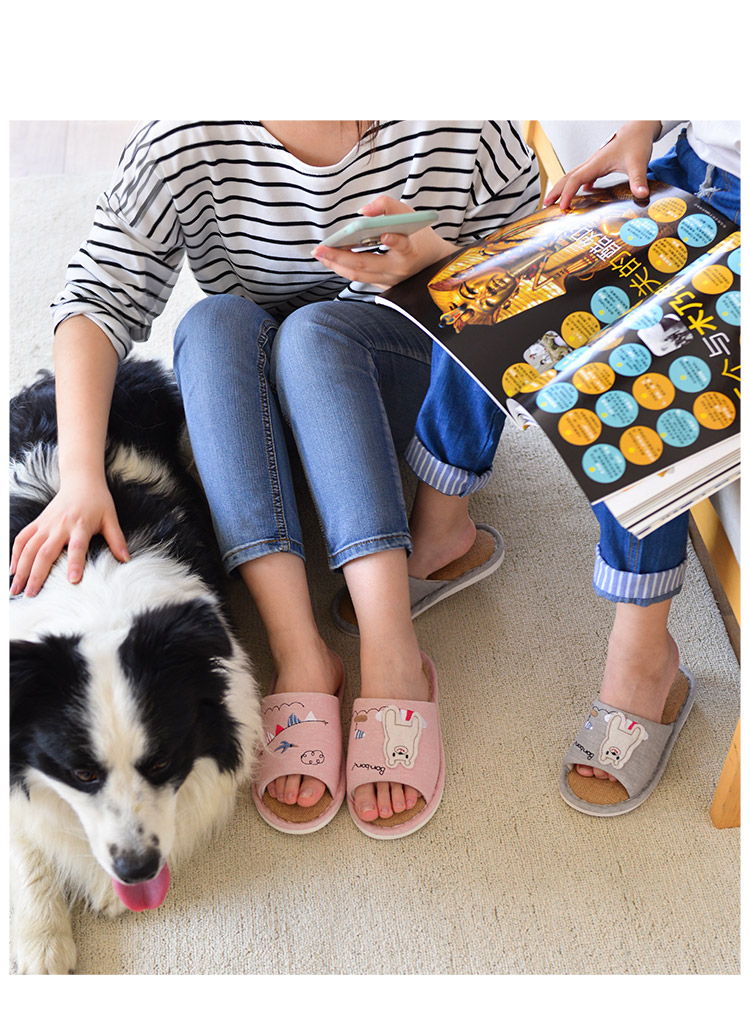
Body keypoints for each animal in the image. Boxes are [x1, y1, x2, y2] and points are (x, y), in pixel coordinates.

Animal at [9, 358, 262, 974]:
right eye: (80, 773)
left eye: (164, 760)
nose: (136, 870)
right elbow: (27, 841)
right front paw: (42, 943)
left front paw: (104, 889)